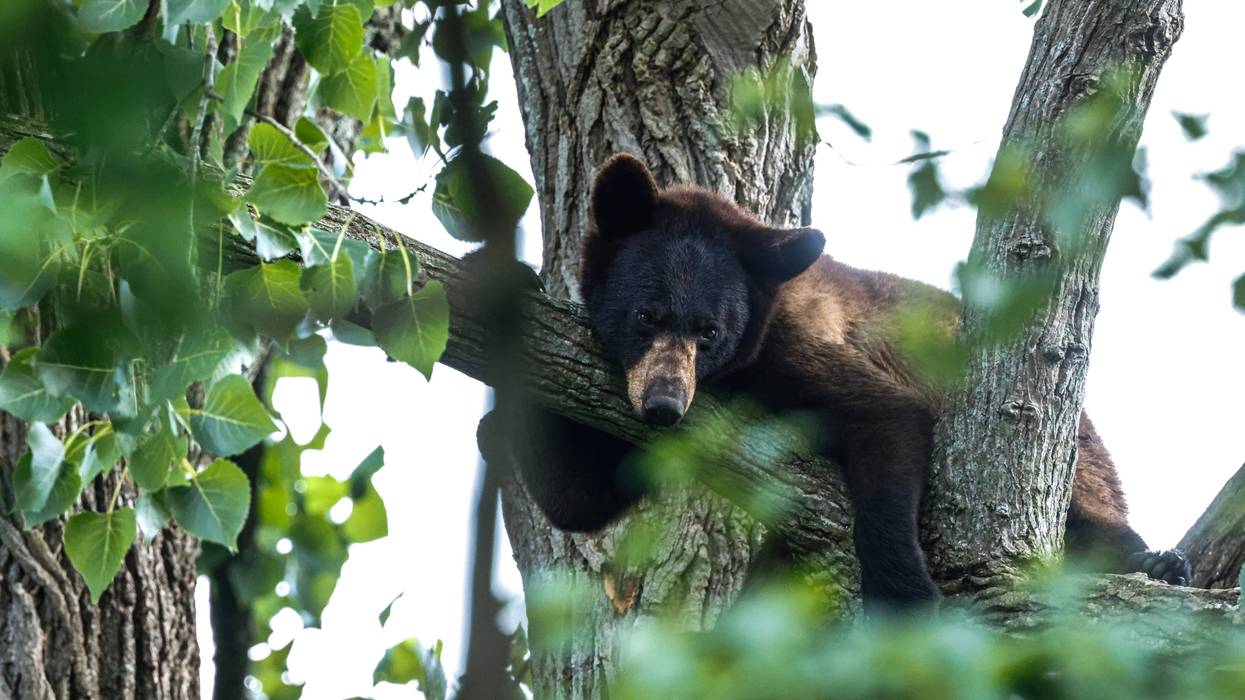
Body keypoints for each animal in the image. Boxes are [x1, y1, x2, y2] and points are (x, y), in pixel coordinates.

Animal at [485, 153, 1191, 610]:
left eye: (710, 331)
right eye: (645, 316)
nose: (664, 406)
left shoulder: (791, 351)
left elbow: (887, 417)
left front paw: (904, 594)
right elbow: (581, 499)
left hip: (1085, 467)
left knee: (1096, 522)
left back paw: (1155, 560)